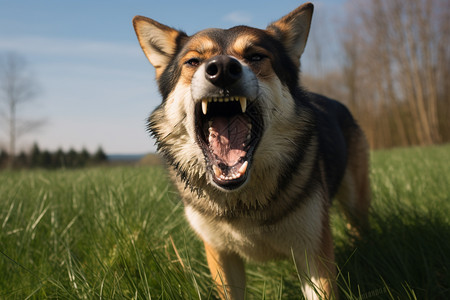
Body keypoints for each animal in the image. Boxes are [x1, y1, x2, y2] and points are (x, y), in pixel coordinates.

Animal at [133, 2, 370, 300]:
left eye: (256, 56)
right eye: (193, 62)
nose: (222, 68)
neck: (243, 202)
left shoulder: (313, 250)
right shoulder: (220, 255)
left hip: (355, 202)